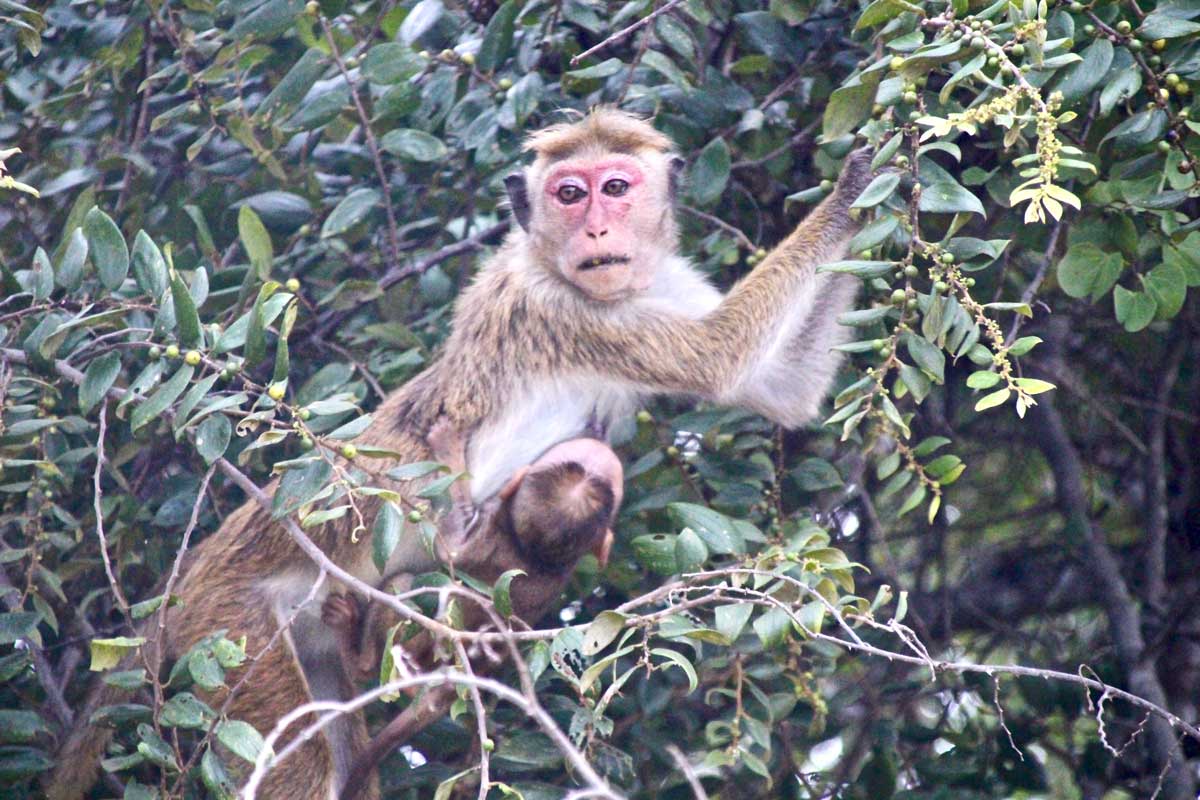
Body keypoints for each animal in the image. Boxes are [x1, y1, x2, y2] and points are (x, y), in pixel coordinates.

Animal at [324, 422, 624, 796]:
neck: (534, 552)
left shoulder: (487, 526)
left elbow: (449, 549)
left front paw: (448, 448)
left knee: (400, 586)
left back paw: (357, 653)